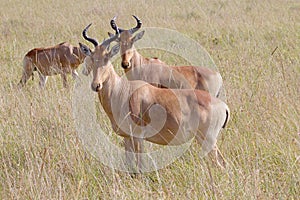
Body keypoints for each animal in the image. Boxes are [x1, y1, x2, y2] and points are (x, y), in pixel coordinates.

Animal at [79, 24, 230, 172]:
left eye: (107, 58)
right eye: (92, 58)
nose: (96, 85)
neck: (122, 90)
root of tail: (223, 106)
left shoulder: (138, 137)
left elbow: (140, 166)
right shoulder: (127, 138)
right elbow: (129, 165)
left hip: (208, 139)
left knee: (221, 163)